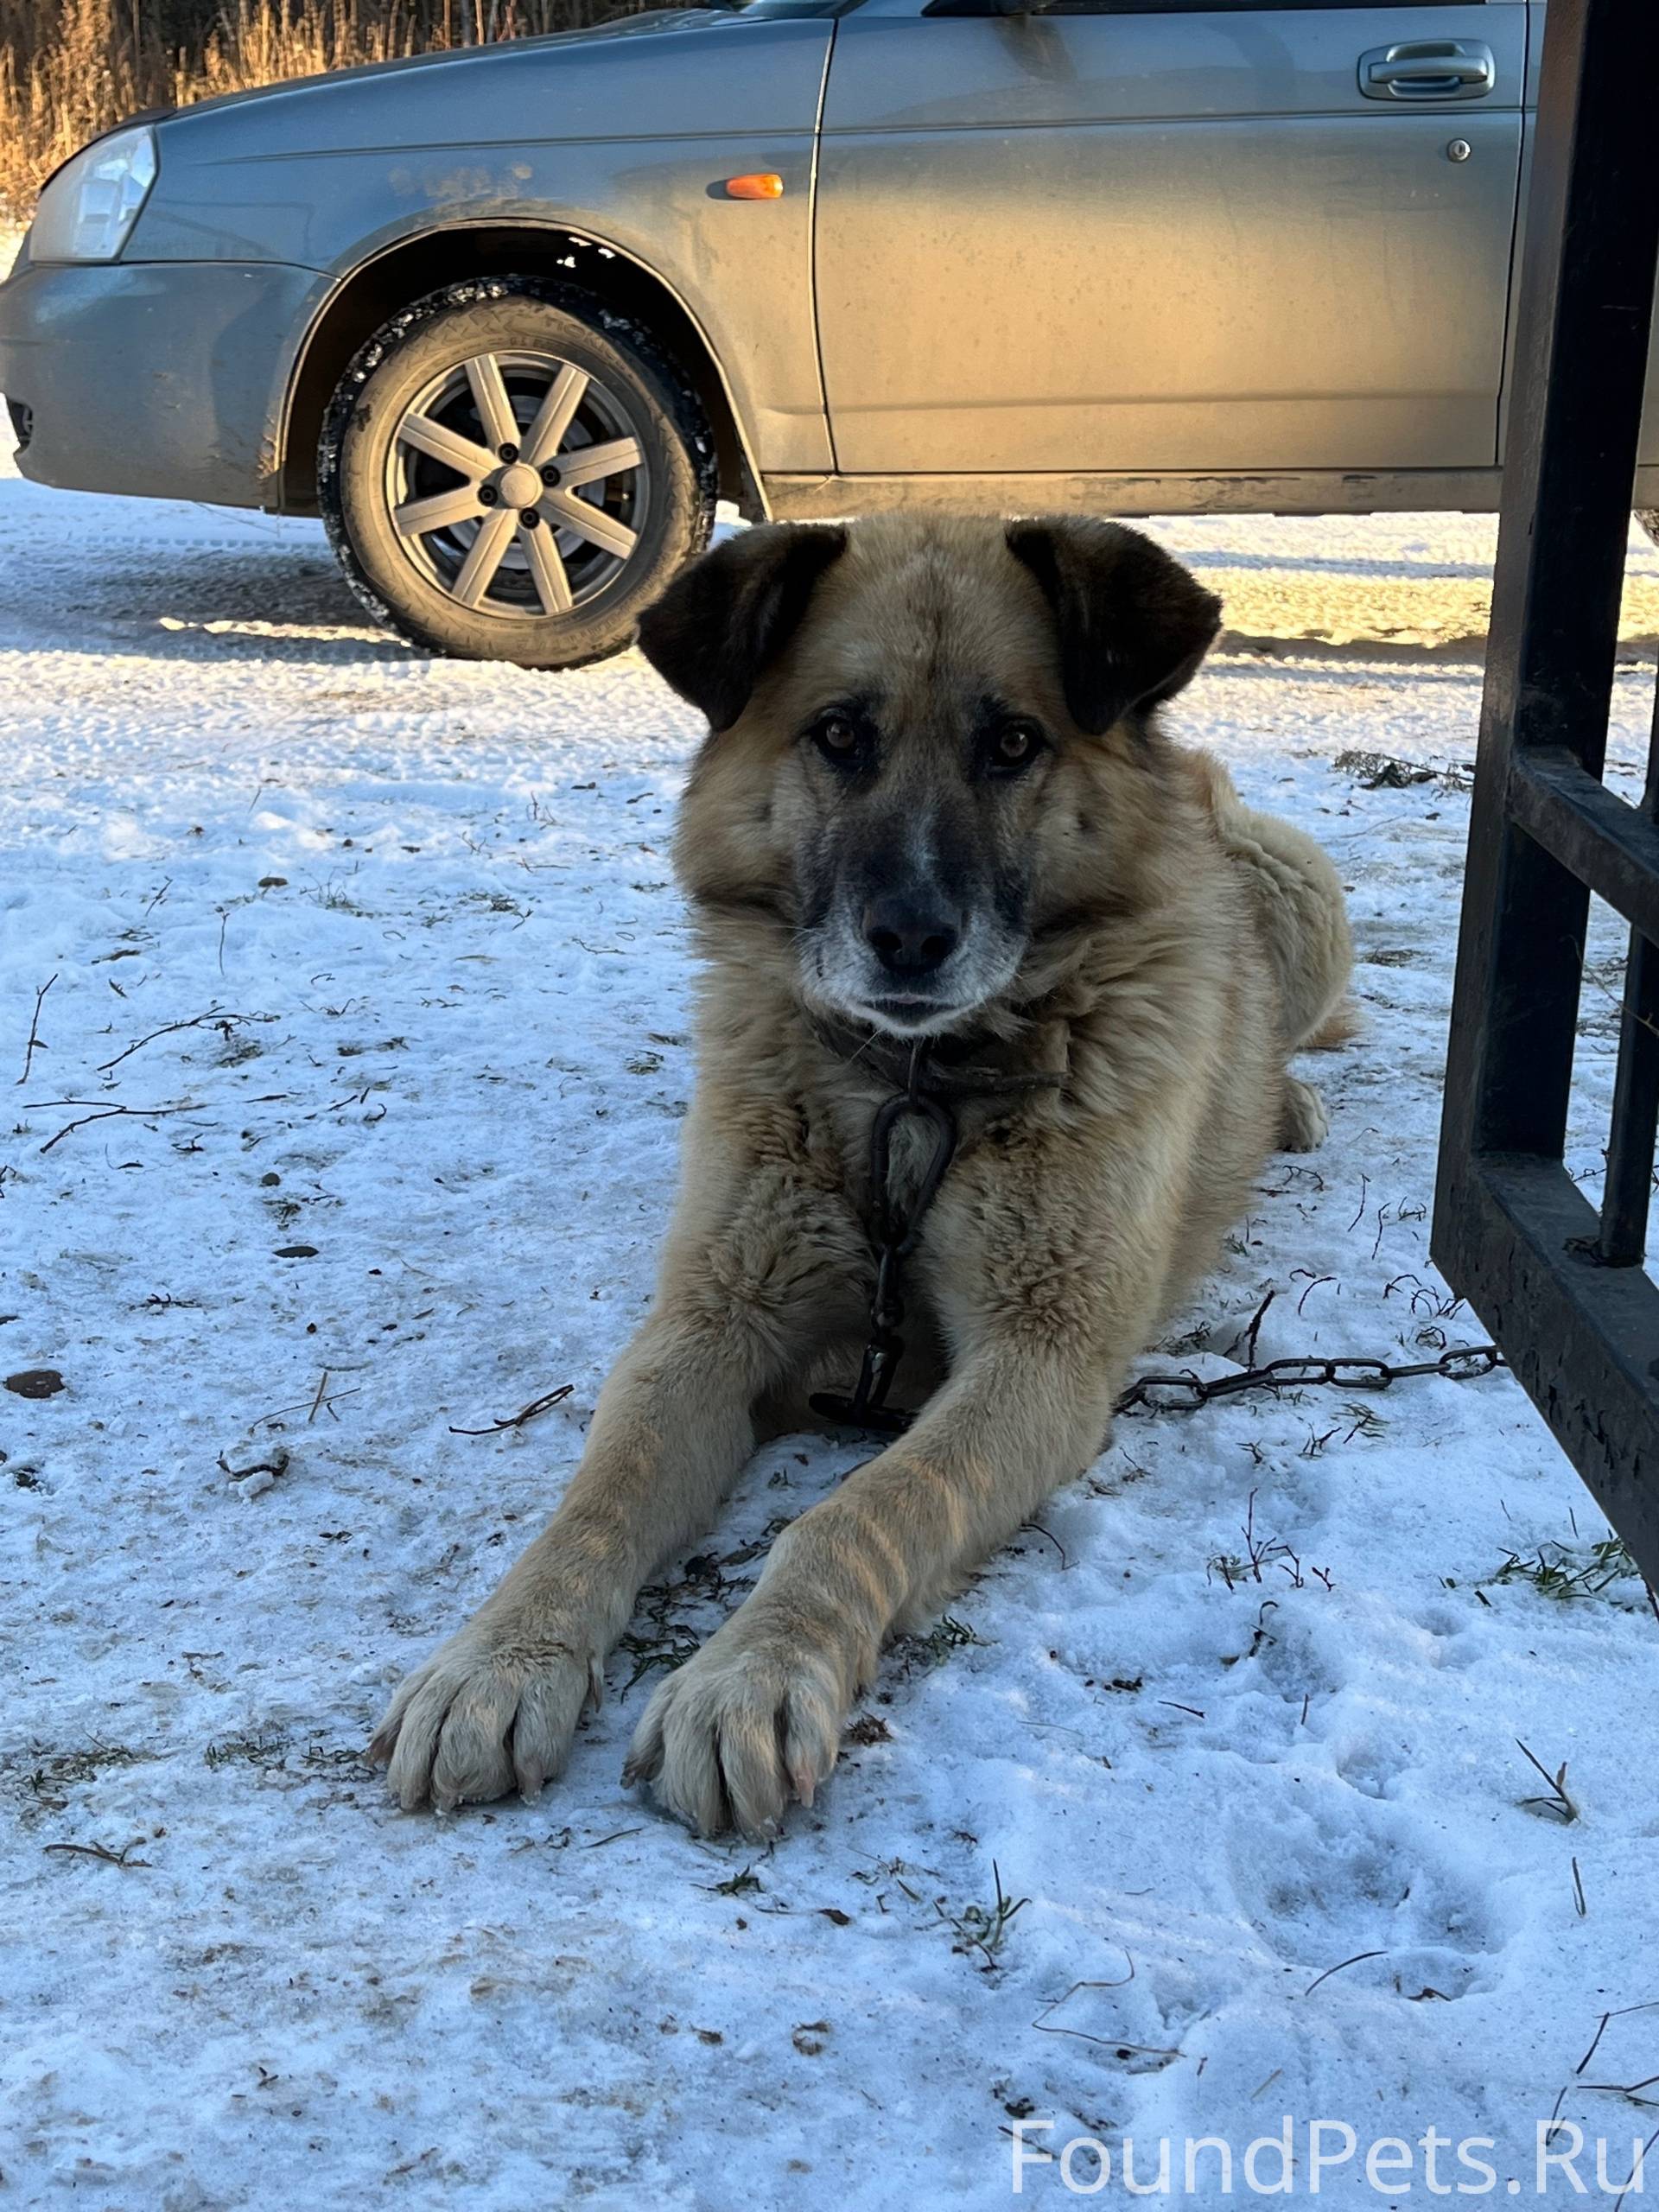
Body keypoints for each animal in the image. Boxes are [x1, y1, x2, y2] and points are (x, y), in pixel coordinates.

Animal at [368, 515, 1353, 1836]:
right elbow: (600, 1498)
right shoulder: (711, 1322)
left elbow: (860, 1511)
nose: (911, 938)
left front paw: (752, 1672)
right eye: (840, 734)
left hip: (1298, 888)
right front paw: (497, 1664)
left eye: (1013, 742)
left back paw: (1283, 1102)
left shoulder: (1038, 1359)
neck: (916, 1085)